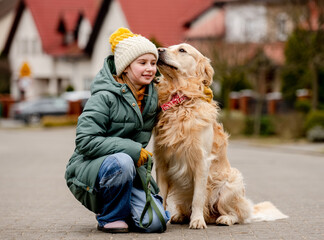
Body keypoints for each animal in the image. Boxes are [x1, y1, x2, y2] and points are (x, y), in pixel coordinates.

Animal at [153, 42, 288, 229]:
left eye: (182, 50)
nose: (159, 50)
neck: (181, 101)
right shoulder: (162, 162)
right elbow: (161, 195)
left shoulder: (201, 161)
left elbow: (198, 197)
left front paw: (197, 220)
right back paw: (180, 216)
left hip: (231, 184)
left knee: (237, 215)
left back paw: (223, 219)